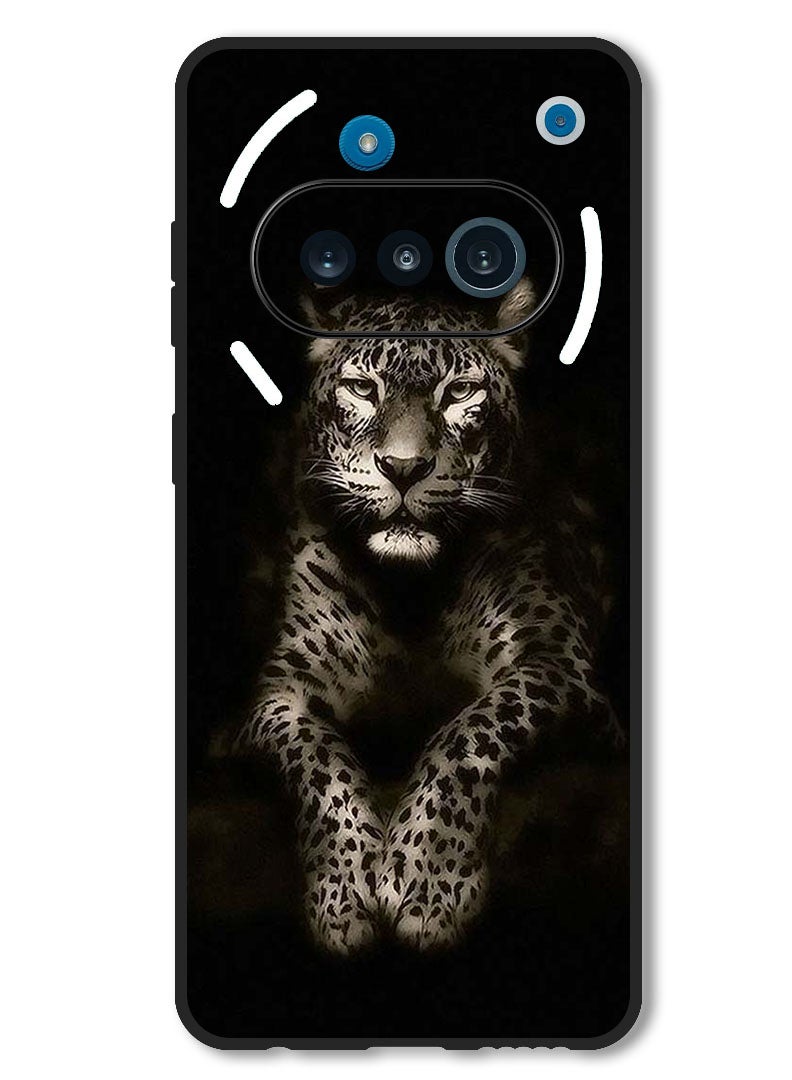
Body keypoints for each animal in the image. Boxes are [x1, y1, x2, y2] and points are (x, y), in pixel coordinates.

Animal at [234, 280, 624, 954]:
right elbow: (317, 758)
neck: (409, 592)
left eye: (460, 391)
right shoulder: (279, 693)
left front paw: (427, 882)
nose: (404, 468)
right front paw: (344, 892)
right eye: (363, 388)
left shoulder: (559, 663)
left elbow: (469, 732)